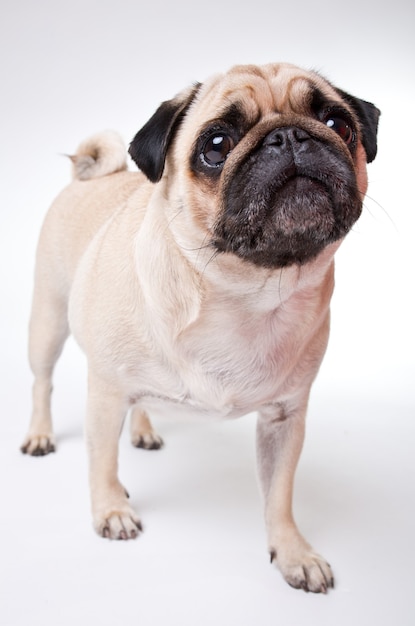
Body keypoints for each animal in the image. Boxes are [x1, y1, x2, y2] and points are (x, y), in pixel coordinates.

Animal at [22, 62, 380, 588]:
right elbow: (101, 462)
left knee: (139, 402)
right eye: (215, 146)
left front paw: (292, 552)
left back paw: (144, 430)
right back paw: (40, 435)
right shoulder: (105, 393)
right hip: (47, 320)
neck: (244, 294)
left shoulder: (284, 418)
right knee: (43, 383)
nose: (289, 136)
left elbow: (280, 495)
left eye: (338, 124)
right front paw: (110, 510)